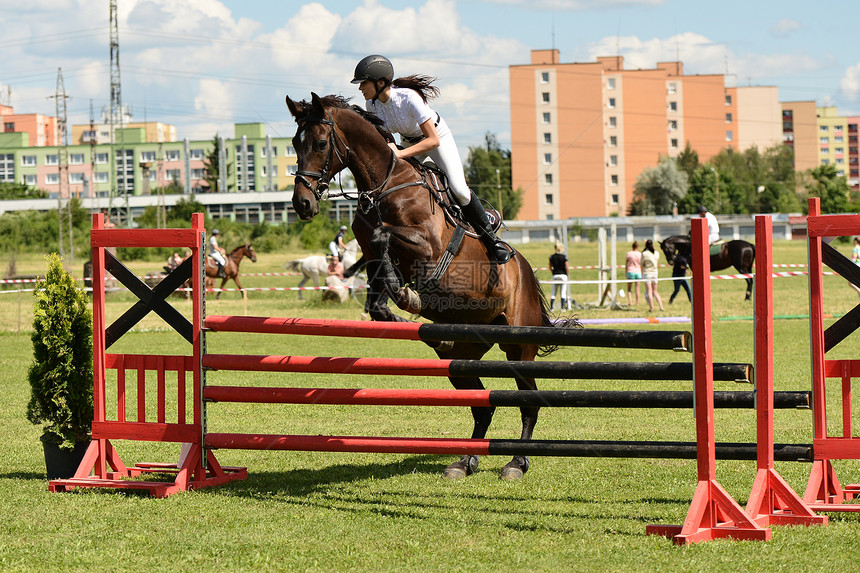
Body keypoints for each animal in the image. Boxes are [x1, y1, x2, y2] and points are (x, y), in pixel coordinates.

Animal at [286, 91, 576, 480]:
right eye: (294, 143)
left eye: (320, 143)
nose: (302, 203)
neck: (385, 185)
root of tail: (527, 273)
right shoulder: (375, 258)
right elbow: (377, 287)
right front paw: (401, 311)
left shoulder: (427, 247)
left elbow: (384, 237)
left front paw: (409, 298)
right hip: (463, 357)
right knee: (482, 405)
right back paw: (465, 461)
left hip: (519, 346)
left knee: (528, 403)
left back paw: (516, 463)